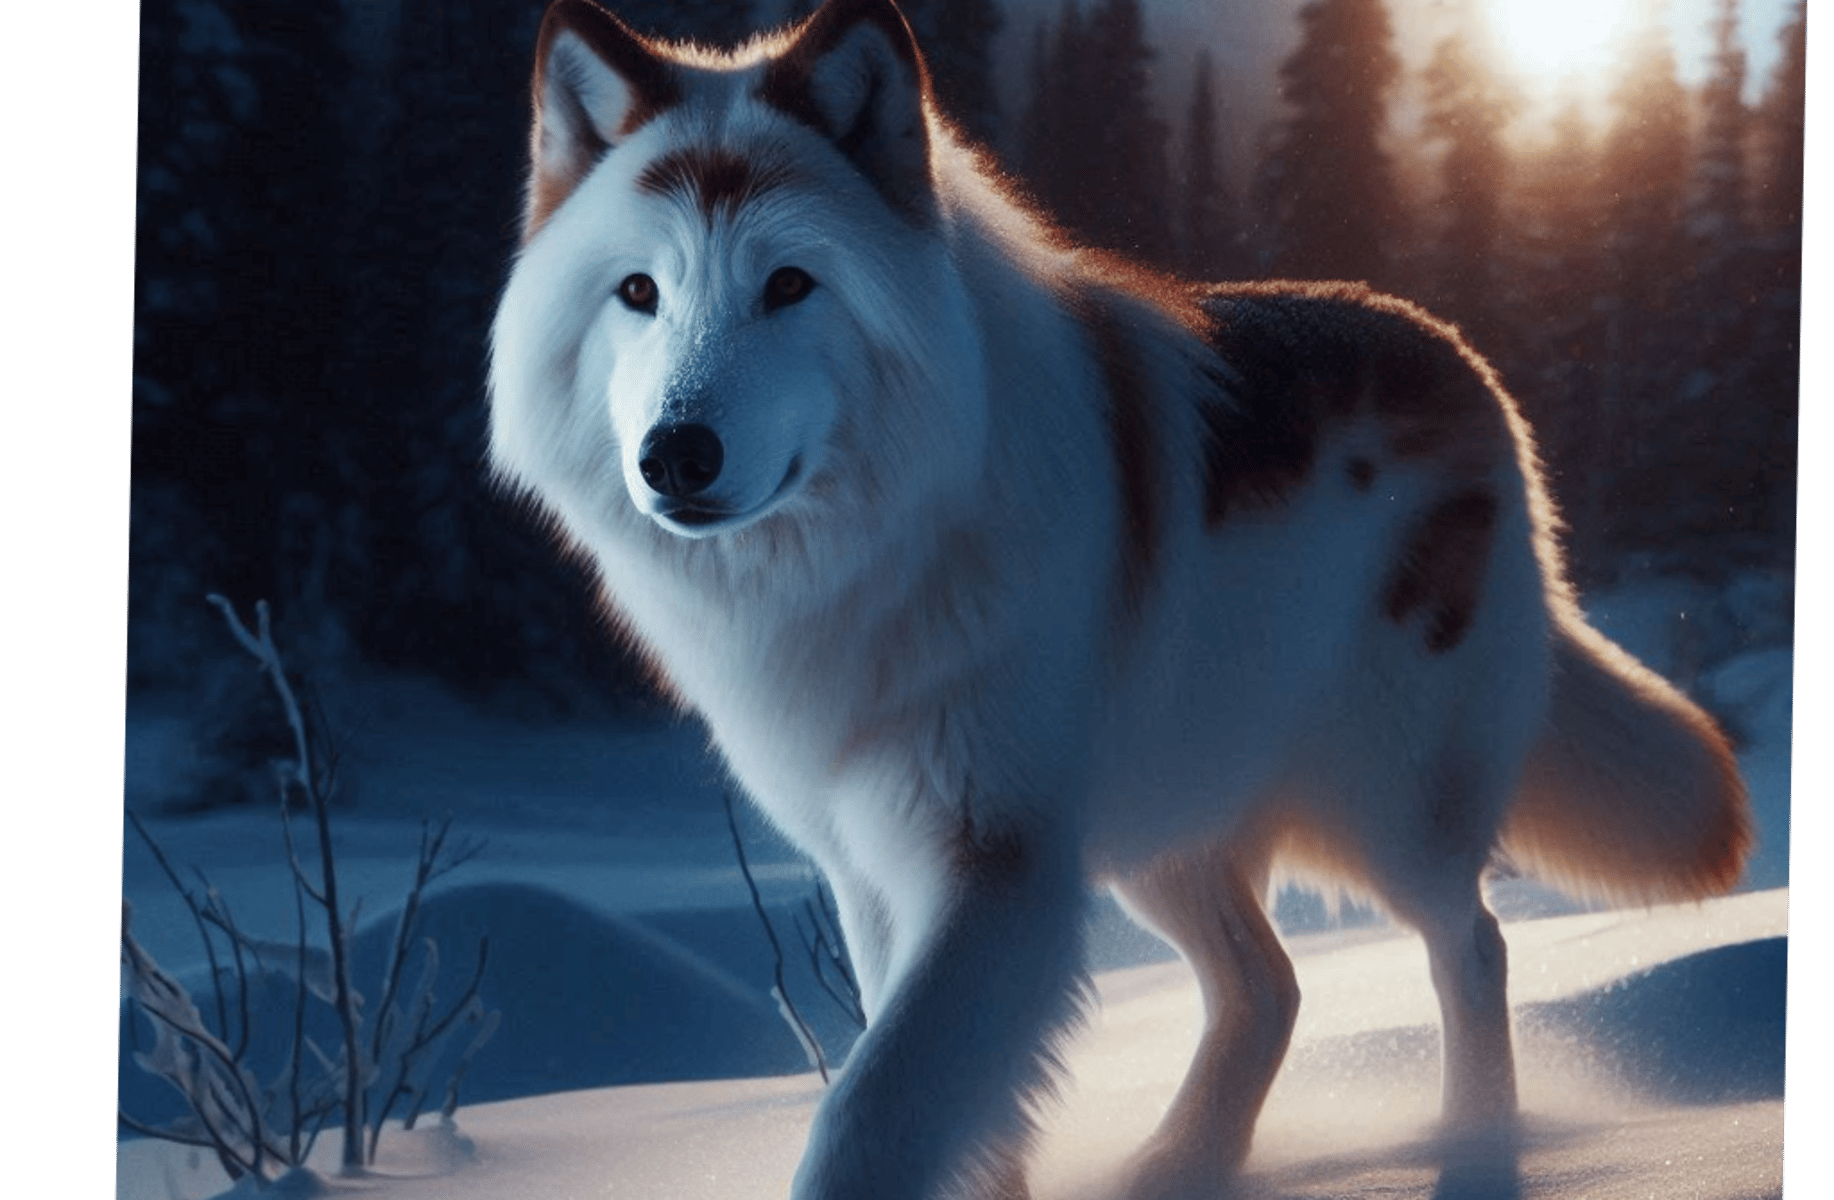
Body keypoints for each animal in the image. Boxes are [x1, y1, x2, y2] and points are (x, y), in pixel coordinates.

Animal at [487, 1, 1752, 1196]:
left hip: (1387, 807)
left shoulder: (996, 867)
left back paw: (1472, 1149)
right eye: (638, 292)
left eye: (788, 284)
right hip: (1168, 835)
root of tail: (1465, 365)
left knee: (1470, 946)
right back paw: (1183, 1166)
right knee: (1269, 989)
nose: (674, 455)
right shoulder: (874, 872)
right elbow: (950, 1114)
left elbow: (866, 1116)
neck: (881, 552)